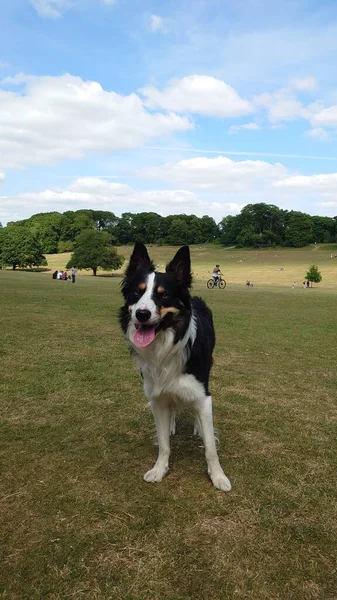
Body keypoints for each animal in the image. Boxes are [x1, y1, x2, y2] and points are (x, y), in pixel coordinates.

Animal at [119, 243, 231, 492]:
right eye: (137, 293)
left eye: (164, 295)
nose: (142, 314)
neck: (165, 346)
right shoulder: (157, 395)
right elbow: (164, 444)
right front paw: (159, 470)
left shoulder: (201, 393)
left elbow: (210, 447)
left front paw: (218, 476)